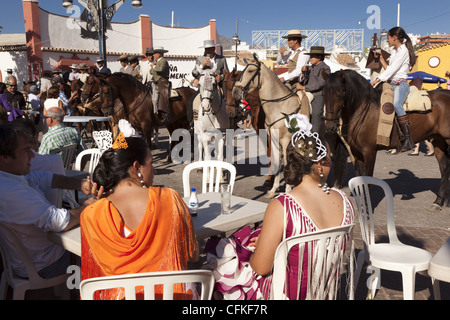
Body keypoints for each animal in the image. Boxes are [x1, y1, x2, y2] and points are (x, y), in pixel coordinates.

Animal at [232, 55, 310, 198]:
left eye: (250, 71)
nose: (235, 92)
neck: (280, 107)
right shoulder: (273, 139)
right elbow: (276, 162)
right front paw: (273, 189)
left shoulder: (286, 141)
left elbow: (286, 163)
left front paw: (287, 190)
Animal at [324, 69, 450, 211]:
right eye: (323, 93)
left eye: (340, 94)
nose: (329, 126)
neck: (364, 110)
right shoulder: (356, 153)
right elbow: (360, 180)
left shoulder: (369, 152)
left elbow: (367, 180)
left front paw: (367, 209)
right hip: (439, 141)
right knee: (444, 168)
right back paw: (438, 202)